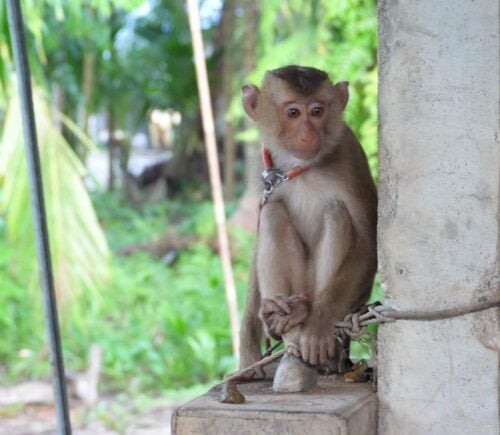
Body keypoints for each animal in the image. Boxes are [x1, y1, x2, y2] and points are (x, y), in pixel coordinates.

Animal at [238, 63, 376, 388]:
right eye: (292, 113)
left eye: (316, 111)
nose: (307, 135)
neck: (300, 167)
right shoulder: (267, 170)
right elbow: (262, 228)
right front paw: (248, 341)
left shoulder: (350, 157)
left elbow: (367, 242)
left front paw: (318, 324)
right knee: (274, 212)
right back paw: (280, 321)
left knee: (336, 213)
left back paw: (312, 329)